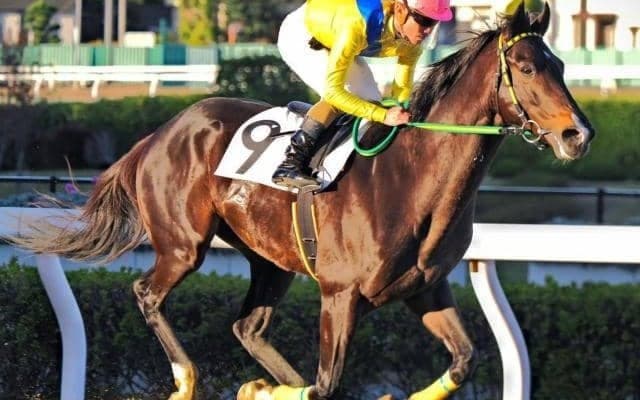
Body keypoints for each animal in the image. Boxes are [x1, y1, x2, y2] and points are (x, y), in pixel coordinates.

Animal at [14, 4, 594, 400]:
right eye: (525, 67)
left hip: (270, 260)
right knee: (148, 294)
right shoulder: (340, 295)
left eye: (561, 66)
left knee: (247, 327)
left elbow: (464, 359)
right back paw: (186, 379)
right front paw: (259, 389)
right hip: (183, 245)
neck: (409, 177)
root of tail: (160, 132)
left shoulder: (426, 289)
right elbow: (326, 384)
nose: (579, 135)